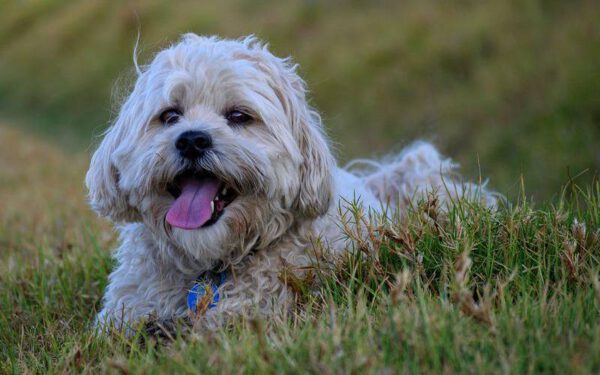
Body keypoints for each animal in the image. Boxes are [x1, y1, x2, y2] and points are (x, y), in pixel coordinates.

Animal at [86, 33, 494, 330]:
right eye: (170, 115)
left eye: (239, 116)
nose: (192, 140)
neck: (209, 267)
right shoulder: (127, 310)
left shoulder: (255, 310)